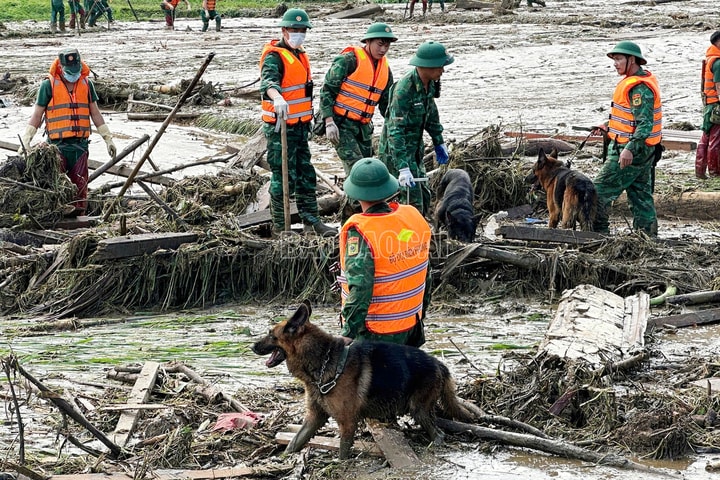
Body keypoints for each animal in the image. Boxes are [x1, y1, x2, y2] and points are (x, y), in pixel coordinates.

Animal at [250, 302, 480, 460]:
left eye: (270, 335)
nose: (251, 346)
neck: (323, 360)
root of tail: (440, 364)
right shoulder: (314, 417)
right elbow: (294, 442)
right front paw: (281, 459)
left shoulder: (347, 422)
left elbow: (343, 451)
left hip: (418, 409)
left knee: (439, 434)